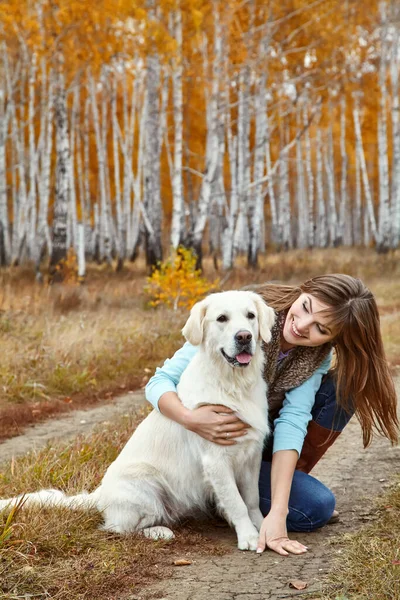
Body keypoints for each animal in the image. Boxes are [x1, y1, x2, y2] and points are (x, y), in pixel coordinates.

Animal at [0, 292, 276, 552]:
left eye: (250, 316)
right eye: (221, 318)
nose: (244, 337)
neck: (233, 384)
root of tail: (100, 494)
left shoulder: (251, 457)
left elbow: (252, 500)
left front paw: (264, 527)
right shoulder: (216, 460)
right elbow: (236, 502)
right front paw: (249, 536)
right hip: (146, 484)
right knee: (118, 529)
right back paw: (159, 532)